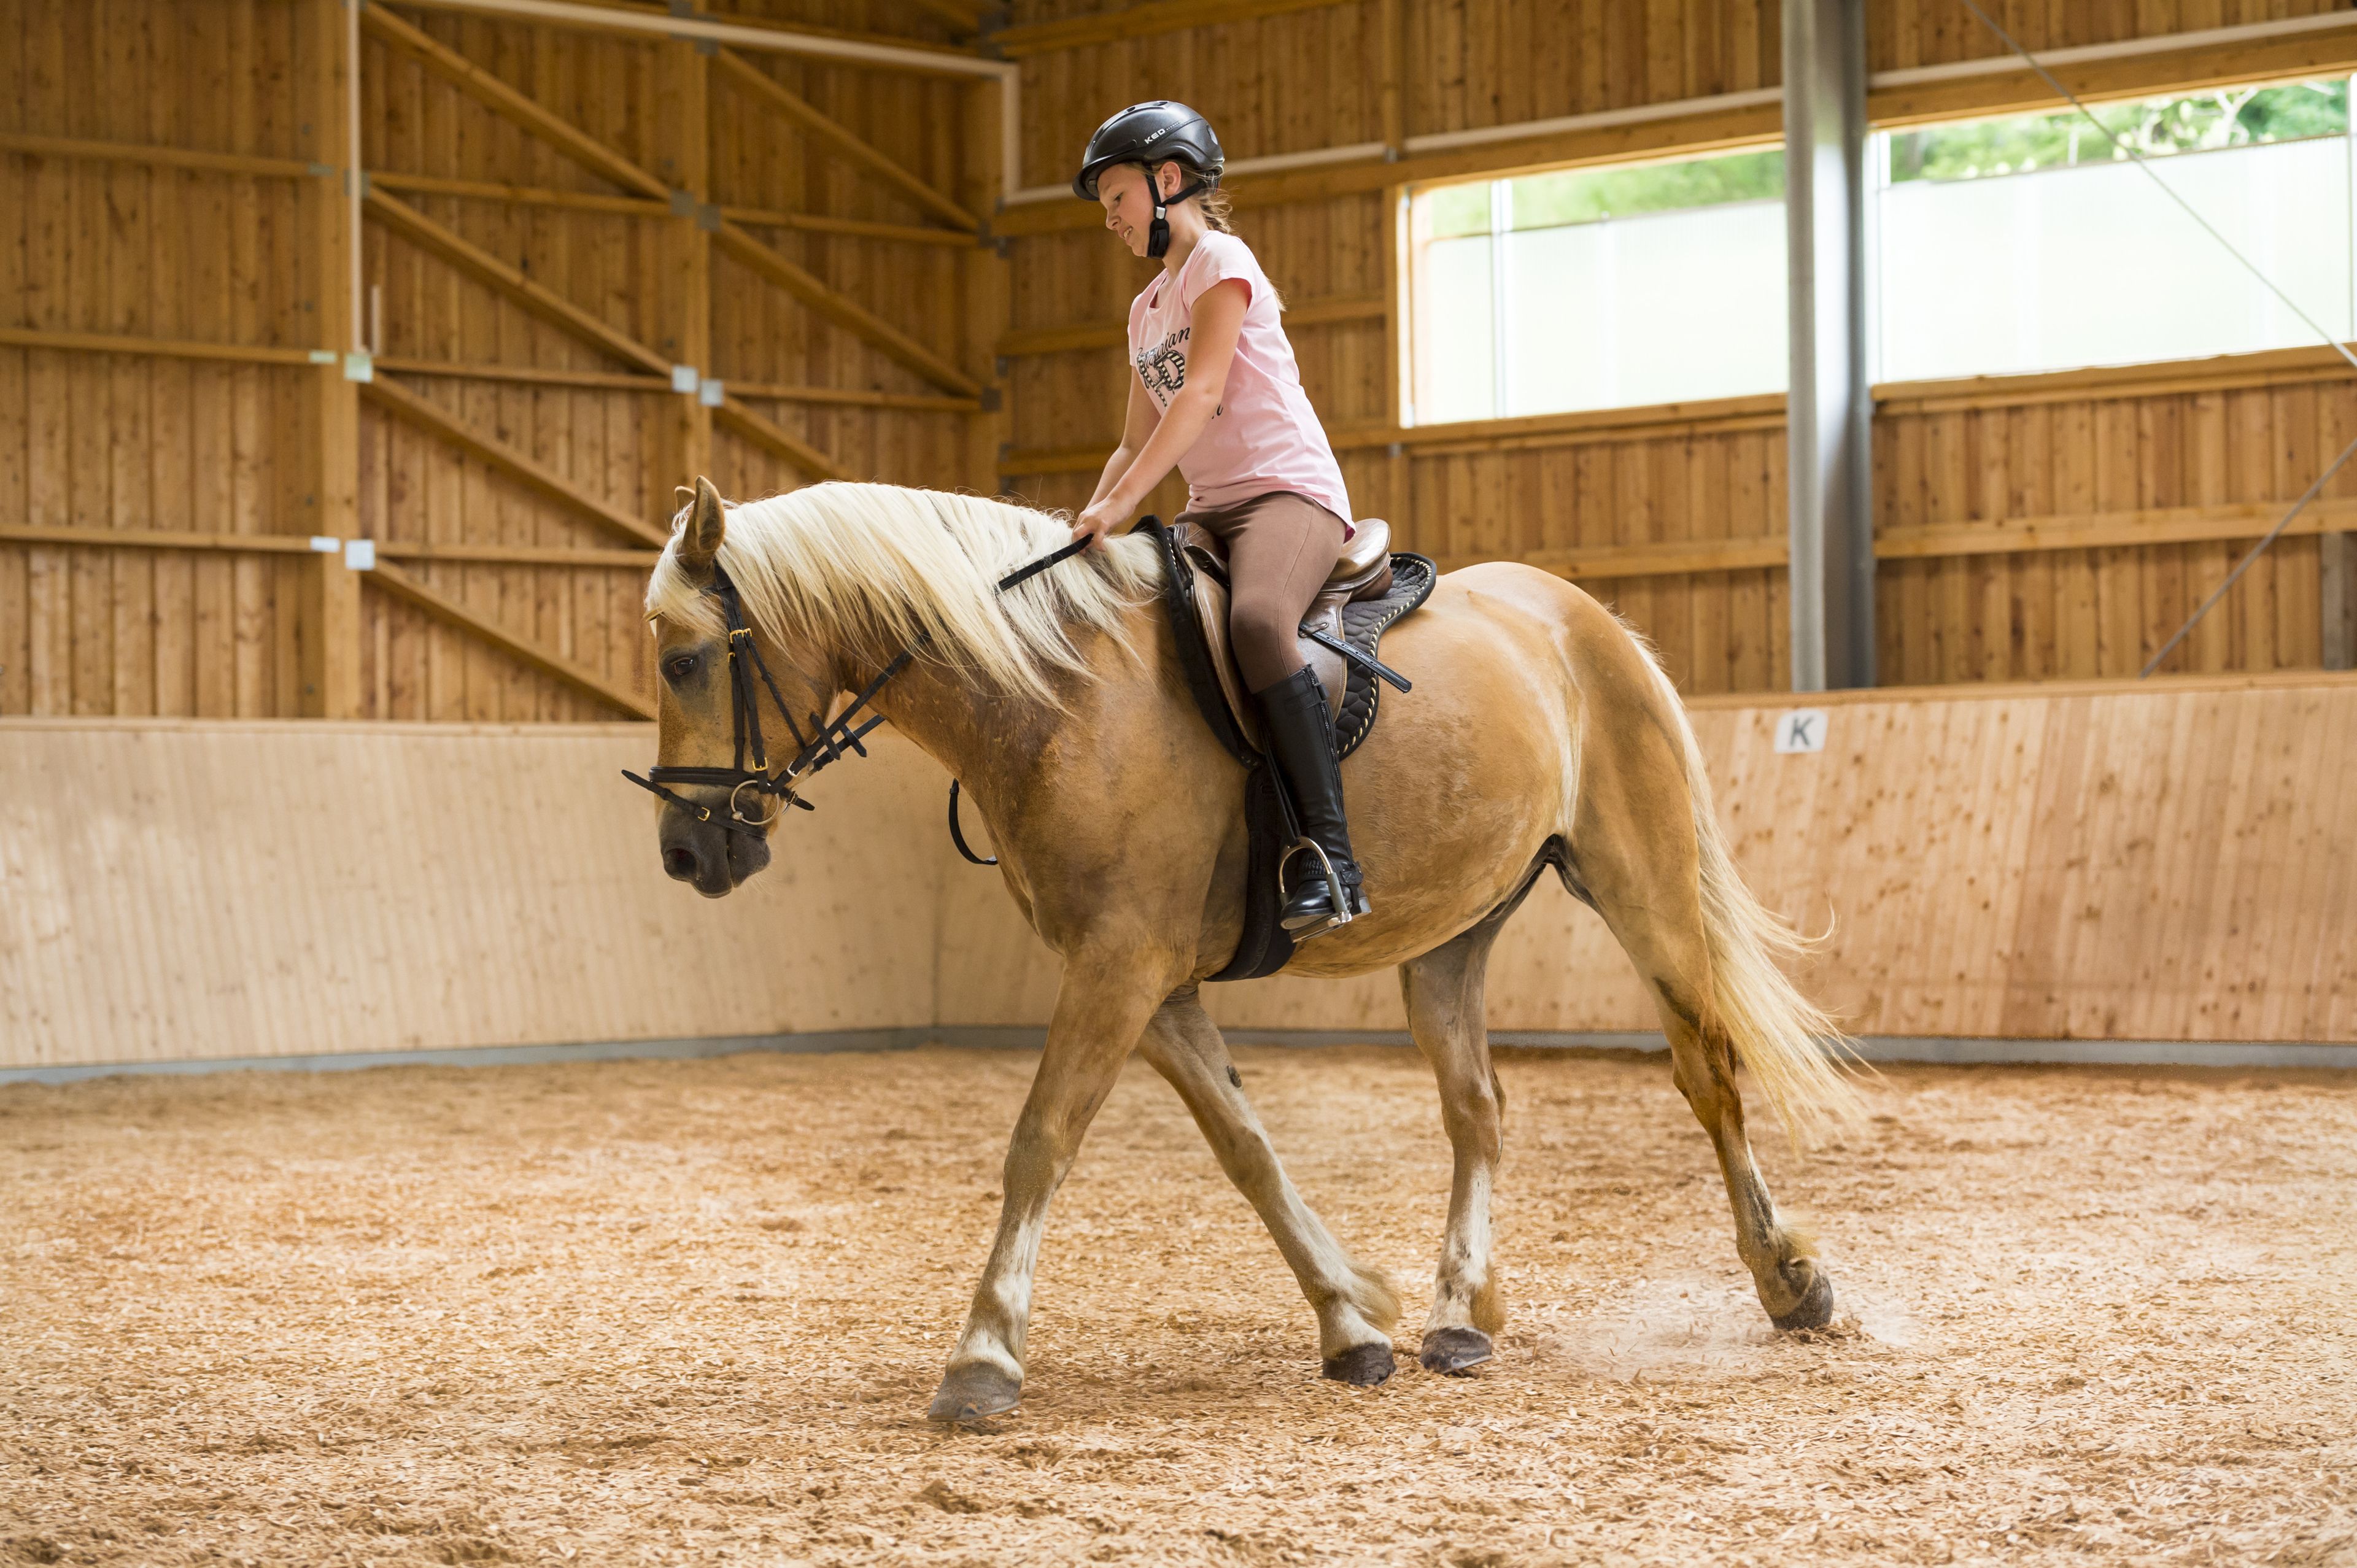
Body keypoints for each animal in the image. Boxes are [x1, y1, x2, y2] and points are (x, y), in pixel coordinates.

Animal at [638, 476, 1857, 1422]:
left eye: (686, 662)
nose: (686, 853)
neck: (1059, 697)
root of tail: (1584, 619)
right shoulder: (1152, 985)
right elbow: (1248, 1151)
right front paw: (1352, 1319)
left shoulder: (1119, 966)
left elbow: (1039, 1142)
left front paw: (982, 1357)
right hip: (1452, 938)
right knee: (1477, 1110)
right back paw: (1459, 1315)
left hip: (1642, 885)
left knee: (1707, 1071)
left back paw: (1790, 1281)